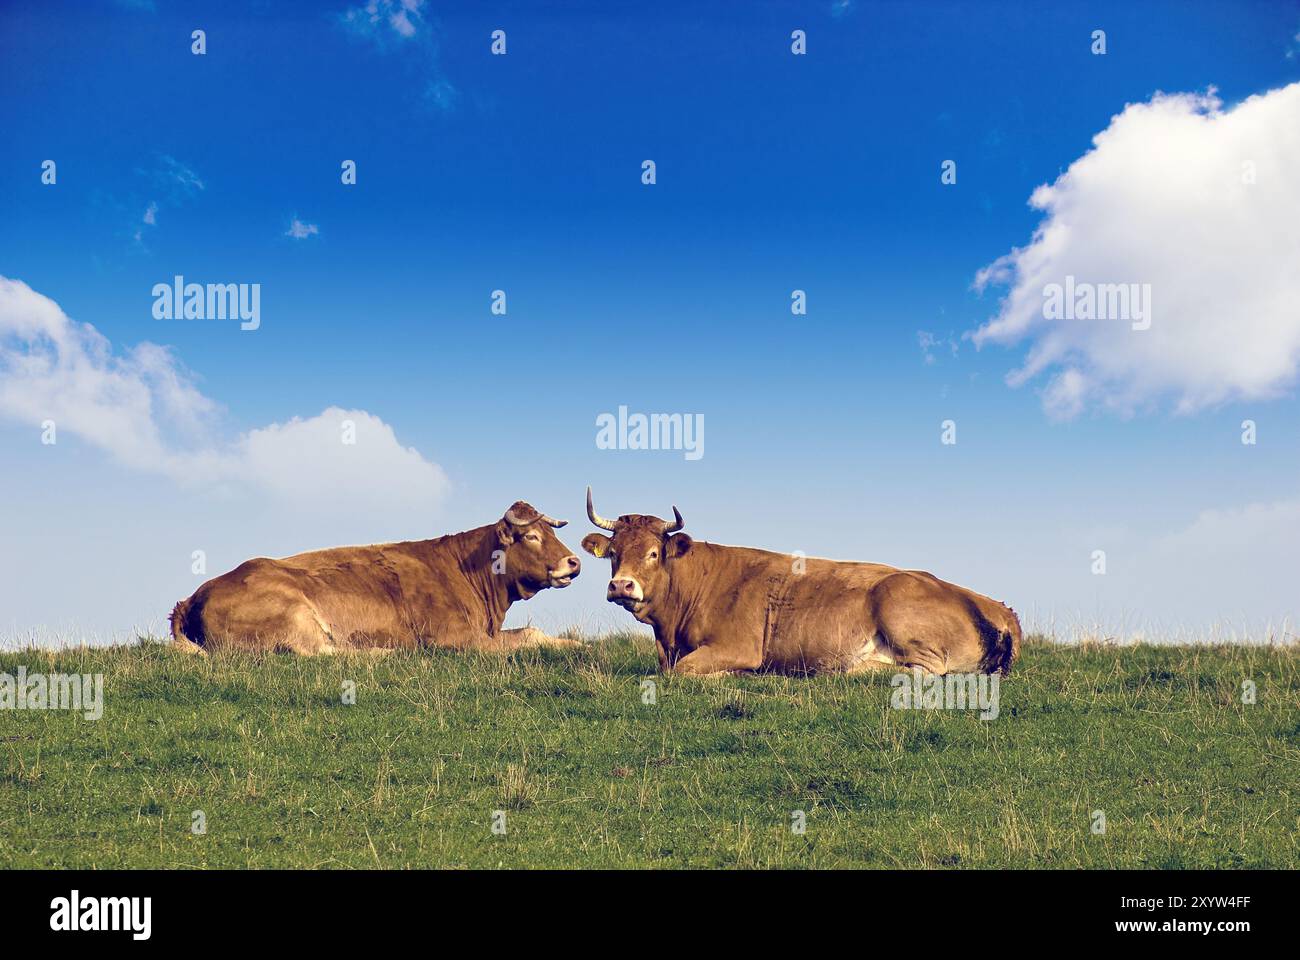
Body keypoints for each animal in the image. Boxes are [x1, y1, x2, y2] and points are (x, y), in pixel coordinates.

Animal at [169, 501, 583, 655]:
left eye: (551, 531)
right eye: (531, 536)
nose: (574, 562)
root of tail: (193, 597)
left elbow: (533, 633)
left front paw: (575, 644)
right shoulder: (454, 637)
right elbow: (522, 641)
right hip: (294, 612)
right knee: (318, 652)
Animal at [581, 488, 1020, 677]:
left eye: (654, 554)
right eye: (614, 552)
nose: (622, 586)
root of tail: (996, 607)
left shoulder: (736, 648)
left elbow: (681, 672)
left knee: (924, 670)